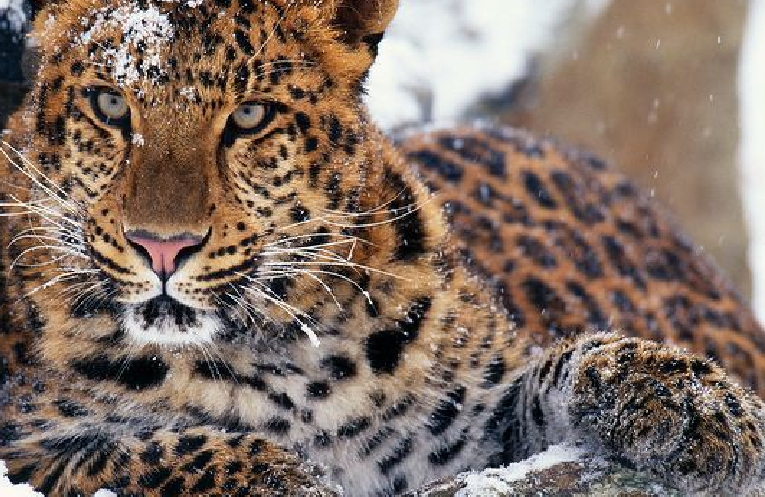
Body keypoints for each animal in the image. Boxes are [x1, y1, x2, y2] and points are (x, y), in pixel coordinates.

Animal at [1, 0, 765, 495]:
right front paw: (292, 480)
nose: (162, 247)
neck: (282, 350)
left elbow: (565, 363)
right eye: (109, 104)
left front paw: (699, 404)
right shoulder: (24, 447)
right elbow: (169, 449)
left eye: (250, 116)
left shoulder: (477, 438)